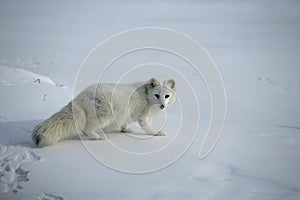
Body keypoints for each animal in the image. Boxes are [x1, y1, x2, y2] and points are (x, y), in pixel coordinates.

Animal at [31, 77, 176, 147]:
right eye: (157, 95)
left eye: (167, 96)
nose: (162, 105)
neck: (146, 94)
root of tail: (81, 96)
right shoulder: (142, 116)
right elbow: (148, 128)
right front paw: (156, 133)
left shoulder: (124, 115)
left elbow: (123, 124)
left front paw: (125, 130)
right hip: (103, 117)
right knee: (87, 129)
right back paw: (98, 137)